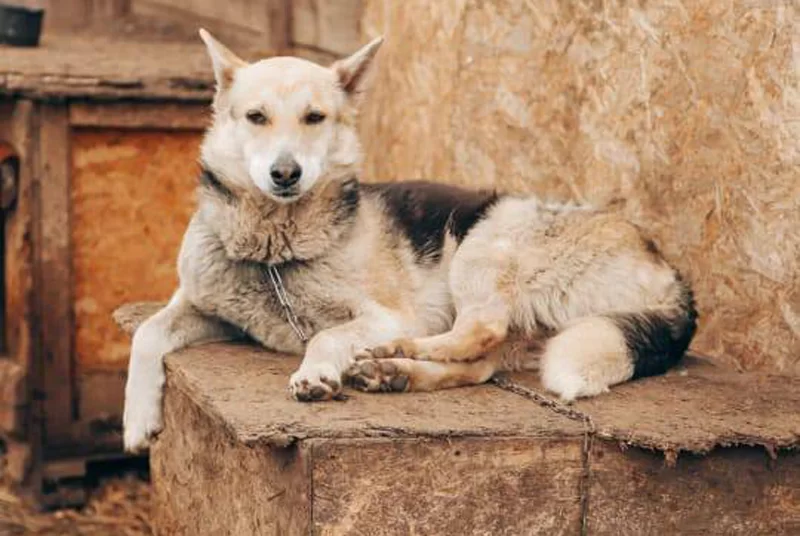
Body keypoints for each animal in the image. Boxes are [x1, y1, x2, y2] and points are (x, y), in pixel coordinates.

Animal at [122, 27, 696, 450]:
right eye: (256, 117)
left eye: (314, 117)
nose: (286, 174)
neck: (273, 254)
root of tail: (670, 273)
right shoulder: (198, 305)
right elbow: (145, 334)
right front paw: (136, 421)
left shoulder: (381, 312)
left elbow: (329, 336)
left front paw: (317, 373)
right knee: (478, 366)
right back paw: (395, 373)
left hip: (485, 242)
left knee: (477, 331)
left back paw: (393, 353)